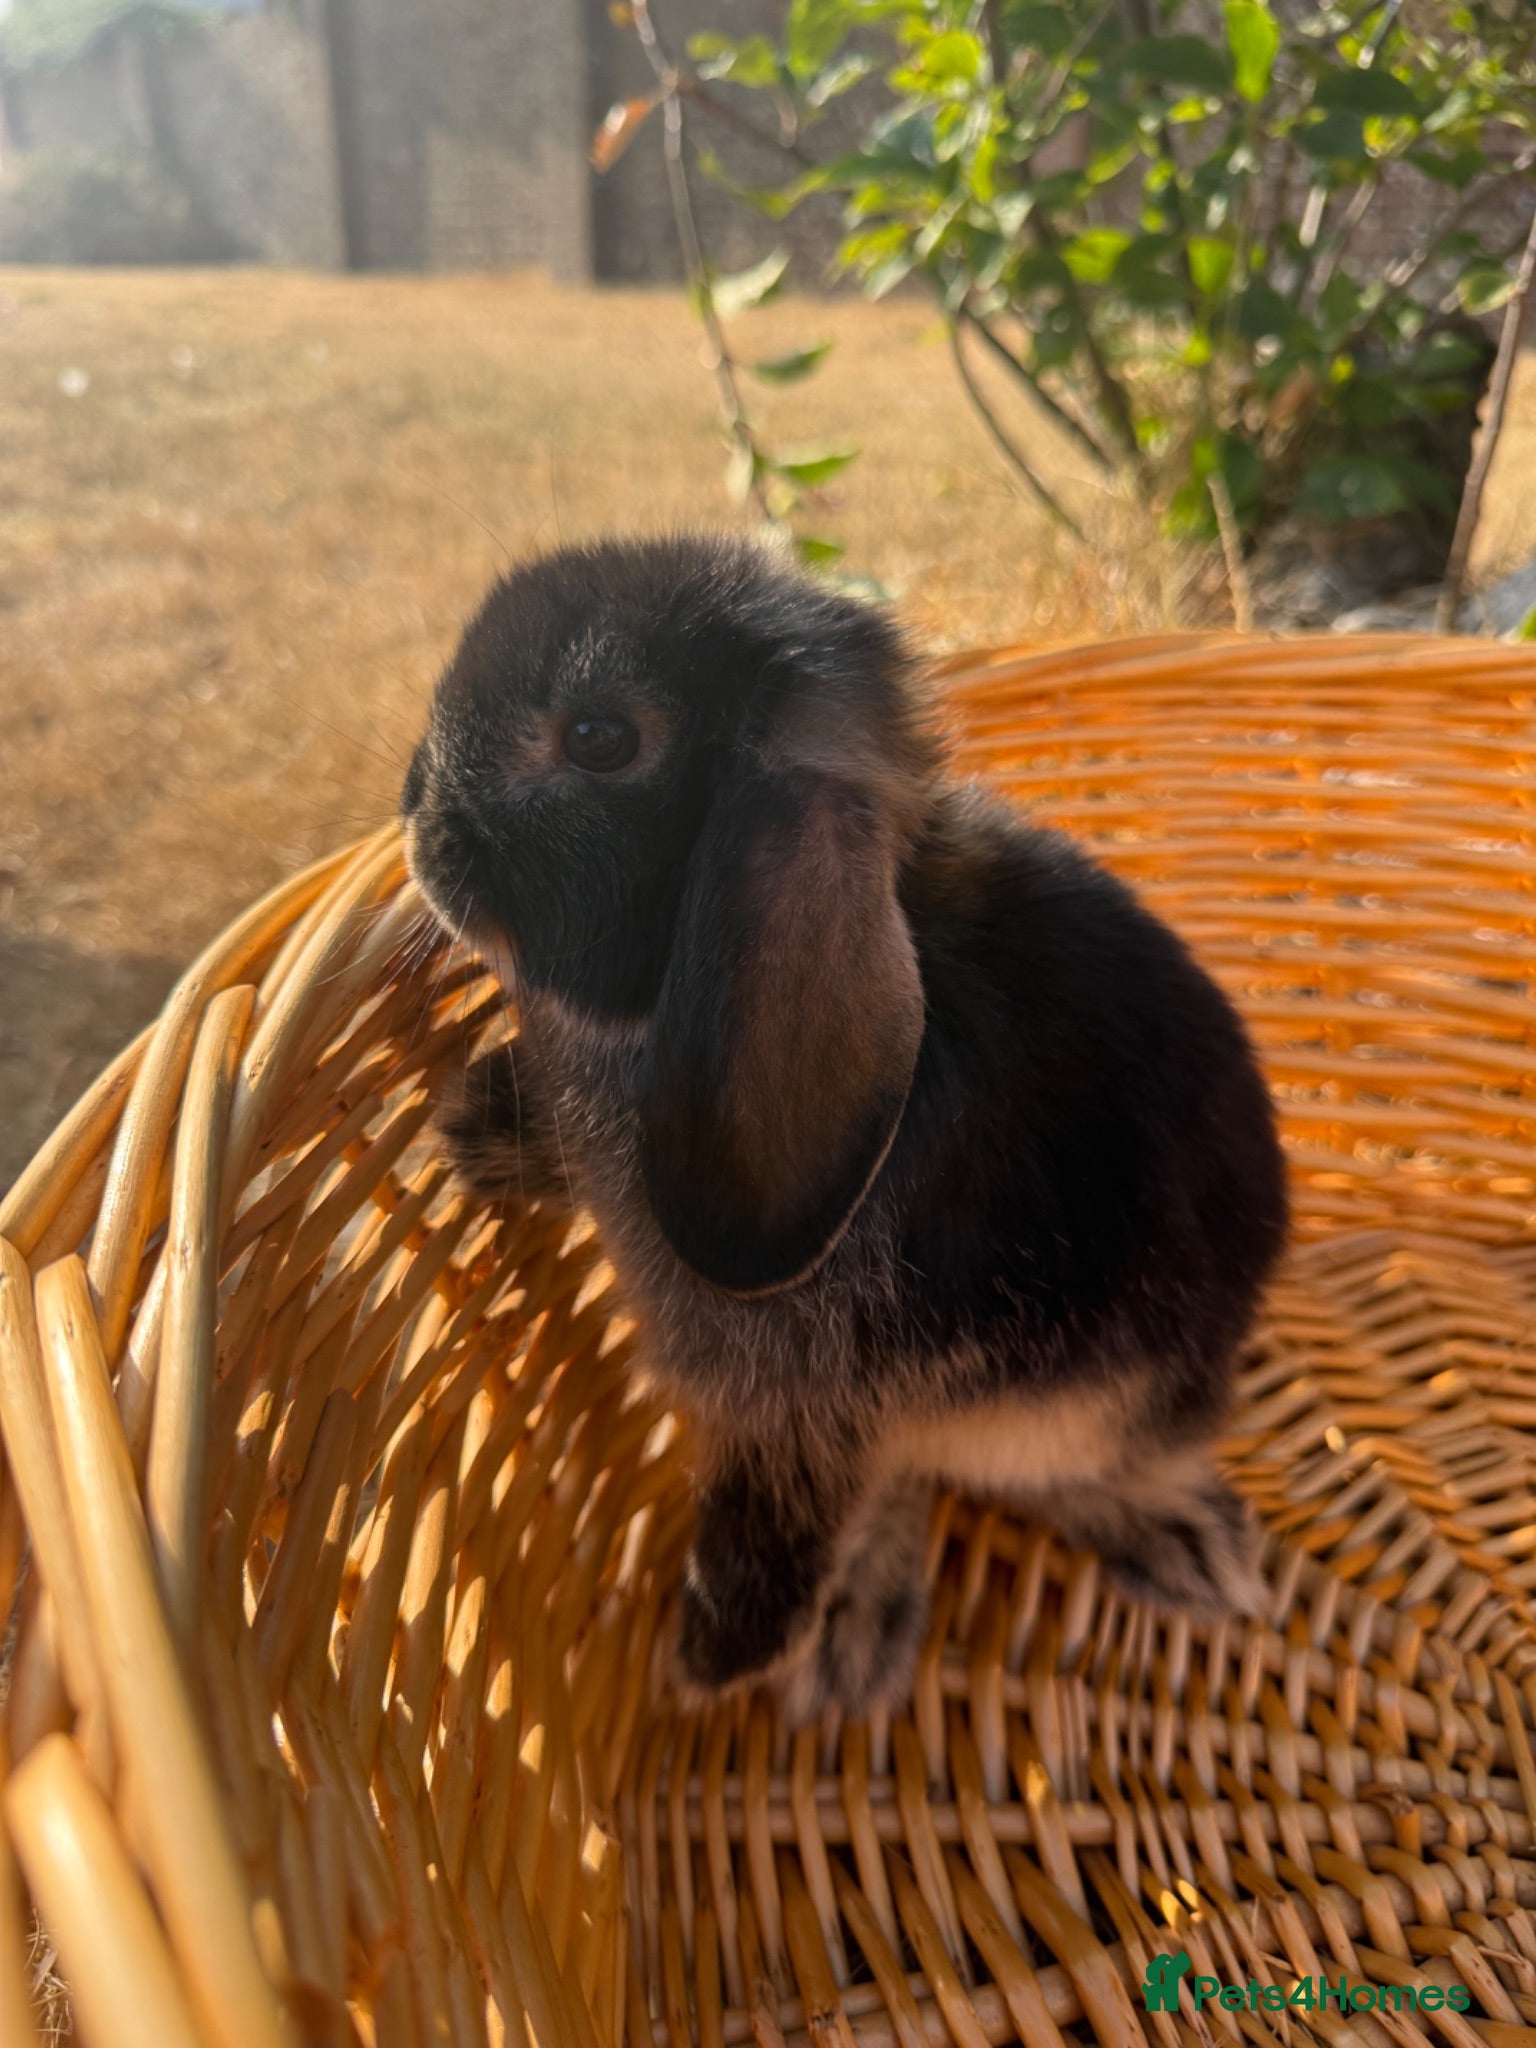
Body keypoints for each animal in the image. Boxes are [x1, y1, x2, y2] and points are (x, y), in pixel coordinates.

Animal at [401, 533, 1289, 1721]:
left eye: (600, 739)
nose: (414, 810)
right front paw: (477, 1129)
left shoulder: (803, 1407)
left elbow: (783, 1512)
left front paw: (709, 1659)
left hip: (1088, 1405)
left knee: (1056, 1473)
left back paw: (1182, 1547)